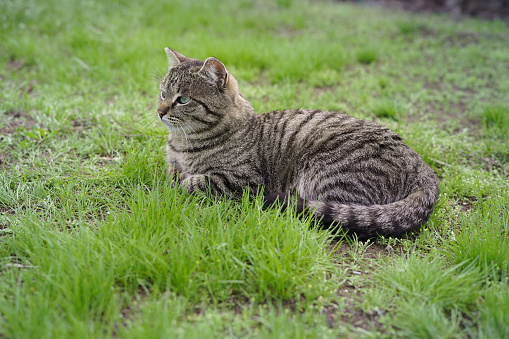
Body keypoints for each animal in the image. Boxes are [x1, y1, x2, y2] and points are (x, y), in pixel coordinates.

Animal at [157, 47, 438, 240]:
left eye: (183, 99)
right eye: (162, 93)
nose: (159, 111)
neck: (183, 143)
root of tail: (422, 166)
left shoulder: (244, 181)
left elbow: (190, 182)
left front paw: (178, 184)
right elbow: (172, 173)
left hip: (327, 175)